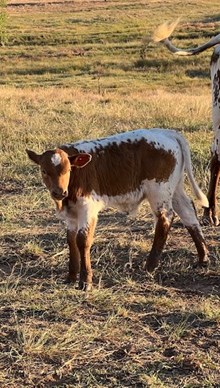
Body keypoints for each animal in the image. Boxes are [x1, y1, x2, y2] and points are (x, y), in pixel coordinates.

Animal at [26, 129, 209, 290]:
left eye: (69, 169)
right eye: (44, 171)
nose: (59, 192)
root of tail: (168, 132)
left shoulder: (88, 208)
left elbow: (82, 240)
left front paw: (85, 281)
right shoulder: (71, 215)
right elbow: (71, 241)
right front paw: (71, 276)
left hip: (159, 191)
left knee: (165, 218)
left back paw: (150, 265)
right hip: (175, 188)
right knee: (188, 212)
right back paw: (203, 257)